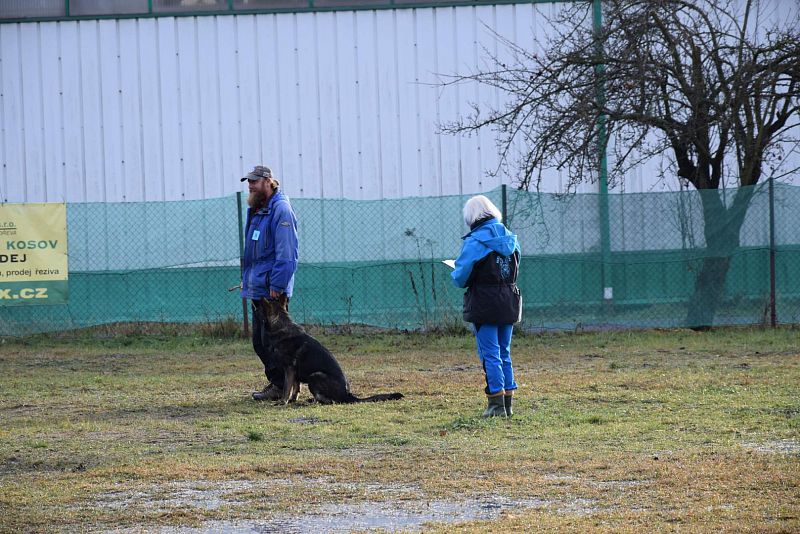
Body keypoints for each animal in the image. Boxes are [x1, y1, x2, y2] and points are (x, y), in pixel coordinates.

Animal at [260, 296, 404, 404]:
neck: (281, 326)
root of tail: (347, 395)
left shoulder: (289, 369)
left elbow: (287, 387)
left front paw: (283, 401)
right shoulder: (294, 371)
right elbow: (296, 387)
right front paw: (292, 400)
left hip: (315, 375)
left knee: (330, 400)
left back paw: (314, 401)